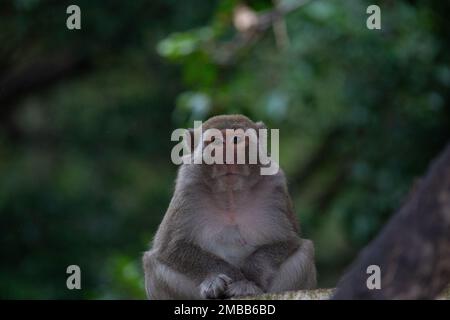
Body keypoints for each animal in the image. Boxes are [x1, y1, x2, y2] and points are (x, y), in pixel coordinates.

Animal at [142, 115, 314, 300]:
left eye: (237, 139)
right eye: (215, 141)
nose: (228, 155)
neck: (230, 196)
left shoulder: (275, 185)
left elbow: (288, 241)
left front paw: (246, 282)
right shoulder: (187, 187)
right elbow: (170, 247)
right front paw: (218, 280)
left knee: (306, 251)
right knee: (151, 263)